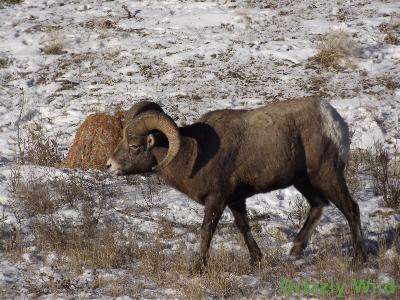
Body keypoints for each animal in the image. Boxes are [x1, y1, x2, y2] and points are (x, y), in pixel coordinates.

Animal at [105, 98, 366, 268]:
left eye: (134, 146)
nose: (109, 166)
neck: (192, 154)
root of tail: (335, 121)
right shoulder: (235, 200)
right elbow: (243, 227)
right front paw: (256, 260)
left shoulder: (217, 200)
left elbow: (206, 231)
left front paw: (198, 268)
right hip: (304, 181)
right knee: (318, 206)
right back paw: (294, 252)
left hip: (327, 176)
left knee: (351, 209)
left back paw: (357, 259)